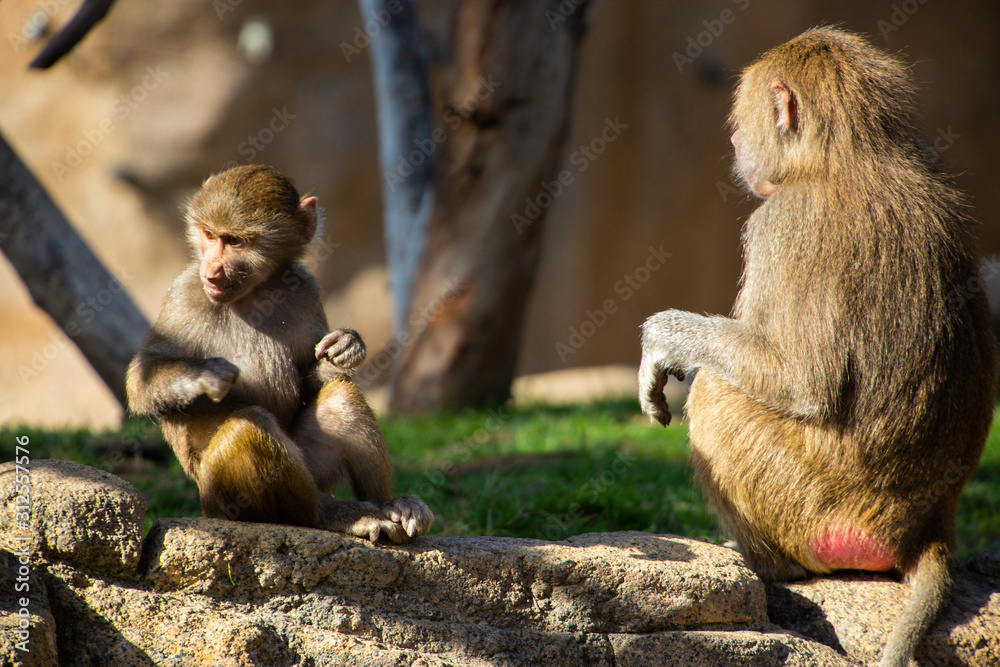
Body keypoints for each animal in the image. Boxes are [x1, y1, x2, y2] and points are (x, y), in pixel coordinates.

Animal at [126, 164, 433, 543]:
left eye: (235, 241)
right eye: (210, 235)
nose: (211, 270)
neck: (255, 292)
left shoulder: (305, 288)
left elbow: (313, 381)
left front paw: (347, 347)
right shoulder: (184, 293)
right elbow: (141, 381)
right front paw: (206, 374)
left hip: (310, 466)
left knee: (339, 398)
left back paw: (392, 506)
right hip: (221, 497)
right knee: (249, 427)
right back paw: (330, 515)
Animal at [638, 28, 995, 667]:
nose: (734, 142)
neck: (846, 156)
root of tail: (927, 526)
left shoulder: (780, 222)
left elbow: (801, 381)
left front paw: (665, 339)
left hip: (817, 508)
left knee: (717, 394)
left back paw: (771, 567)